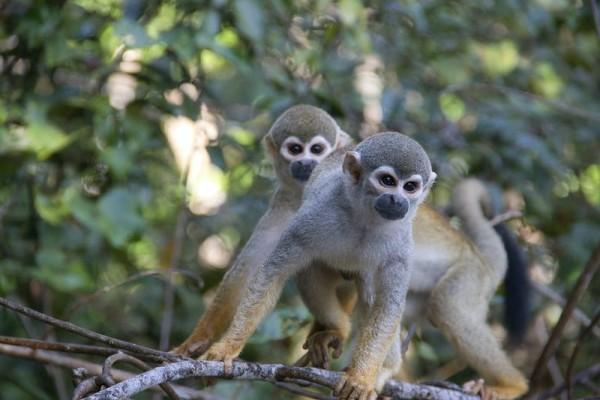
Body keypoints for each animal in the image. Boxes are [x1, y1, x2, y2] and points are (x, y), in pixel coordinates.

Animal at [172, 104, 352, 358]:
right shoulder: (283, 206)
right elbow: (249, 272)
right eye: (295, 149)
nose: (306, 163)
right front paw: (198, 339)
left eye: (316, 149)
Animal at [202, 134, 436, 400]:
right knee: (309, 270)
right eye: (388, 181)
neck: (365, 220)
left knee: (369, 291)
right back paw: (338, 329)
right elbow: (272, 274)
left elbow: (388, 305)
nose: (398, 200)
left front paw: (361, 378)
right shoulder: (312, 219)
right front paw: (228, 347)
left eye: (410, 187)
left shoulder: (401, 245)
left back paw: (385, 369)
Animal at [298, 180, 528, 398]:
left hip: (470, 277)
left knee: (445, 305)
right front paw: (330, 333)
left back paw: (511, 385)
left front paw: (363, 375)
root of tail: (478, 257)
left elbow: (377, 295)